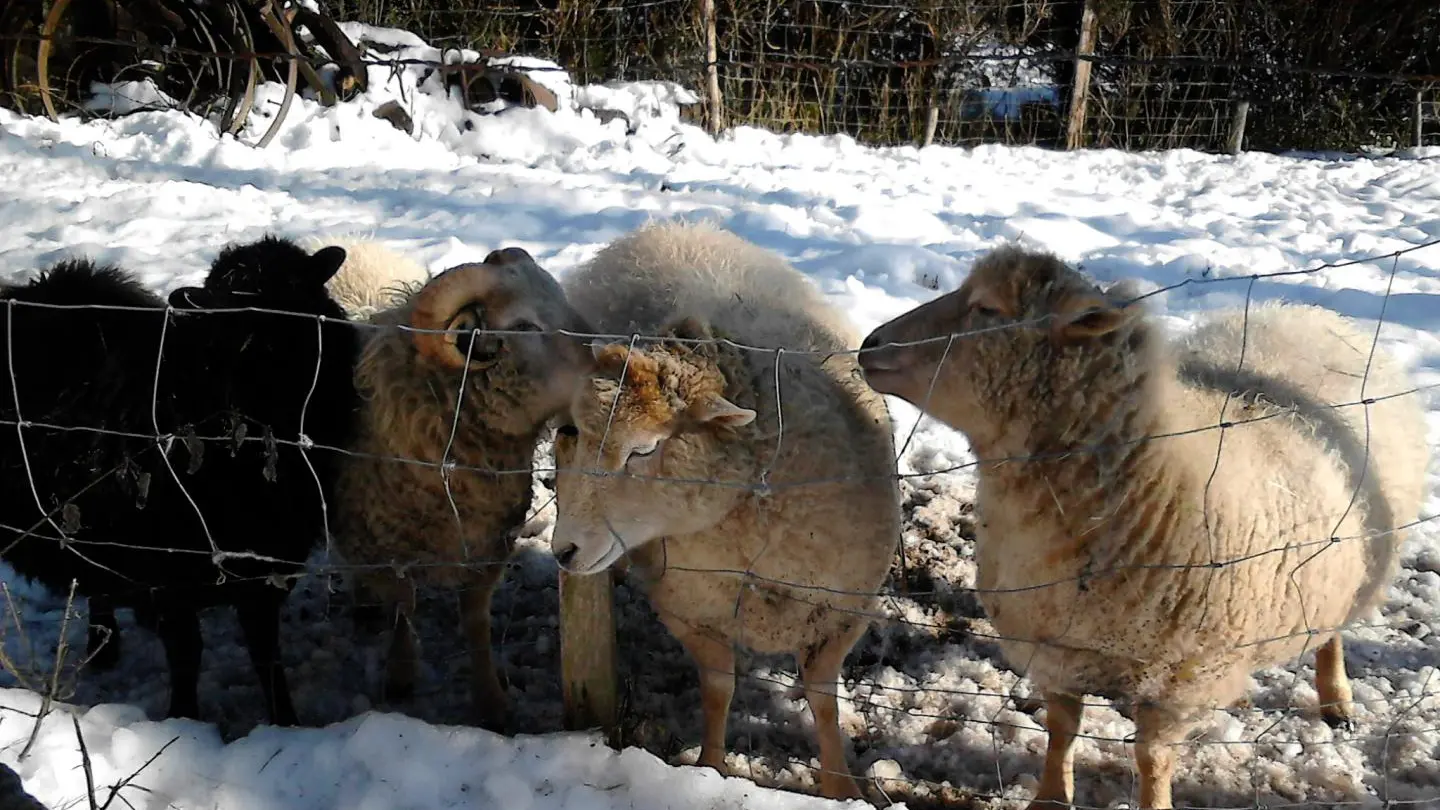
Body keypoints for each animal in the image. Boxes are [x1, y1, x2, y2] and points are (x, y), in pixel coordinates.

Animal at [0, 236, 360, 720]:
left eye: (287, 283)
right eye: (220, 284)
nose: (188, 299)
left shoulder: (263, 564)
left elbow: (265, 652)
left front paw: (285, 722)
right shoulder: (165, 571)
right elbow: (187, 653)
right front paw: (185, 721)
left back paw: (102, 647)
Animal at [547, 219, 898, 795]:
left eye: (644, 448)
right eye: (572, 431)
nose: (564, 551)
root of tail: (671, 226)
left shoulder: (840, 611)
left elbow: (823, 701)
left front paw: (840, 787)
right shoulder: (689, 606)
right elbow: (718, 689)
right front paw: (712, 768)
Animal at [852, 246, 1428, 807]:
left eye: (988, 308)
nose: (867, 345)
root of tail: (1307, 312)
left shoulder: (1180, 682)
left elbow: (1152, 759)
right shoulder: (1056, 645)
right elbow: (1062, 728)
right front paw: (1050, 798)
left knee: (1331, 636)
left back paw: (1337, 700)